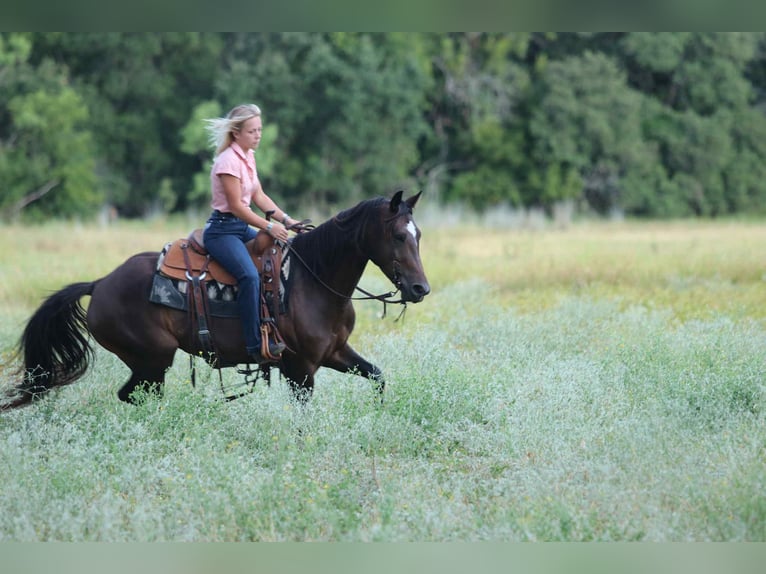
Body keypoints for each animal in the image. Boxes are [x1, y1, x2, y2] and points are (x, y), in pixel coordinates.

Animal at [3, 191, 430, 409]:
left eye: (419, 235)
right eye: (397, 236)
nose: (419, 289)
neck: (314, 280)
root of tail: (101, 283)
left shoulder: (335, 353)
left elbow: (378, 377)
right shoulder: (300, 369)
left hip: (149, 364)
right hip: (152, 359)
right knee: (135, 395)